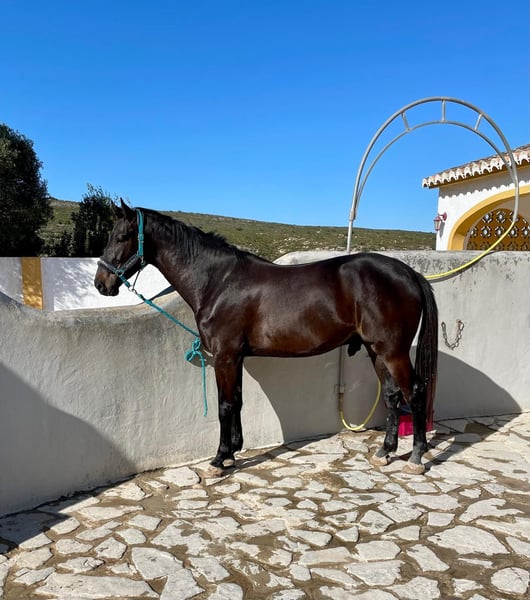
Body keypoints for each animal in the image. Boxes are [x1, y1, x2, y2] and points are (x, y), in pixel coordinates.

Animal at [95, 200, 438, 475]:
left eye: (122, 236)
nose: (101, 283)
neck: (218, 282)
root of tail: (408, 273)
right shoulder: (235, 358)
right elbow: (237, 401)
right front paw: (233, 452)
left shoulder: (225, 356)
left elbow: (224, 405)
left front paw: (219, 459)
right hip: (376, 350)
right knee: (393, 395)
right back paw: (385, 452)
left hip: (393, 352)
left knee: (415, 392)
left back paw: (416, 457)